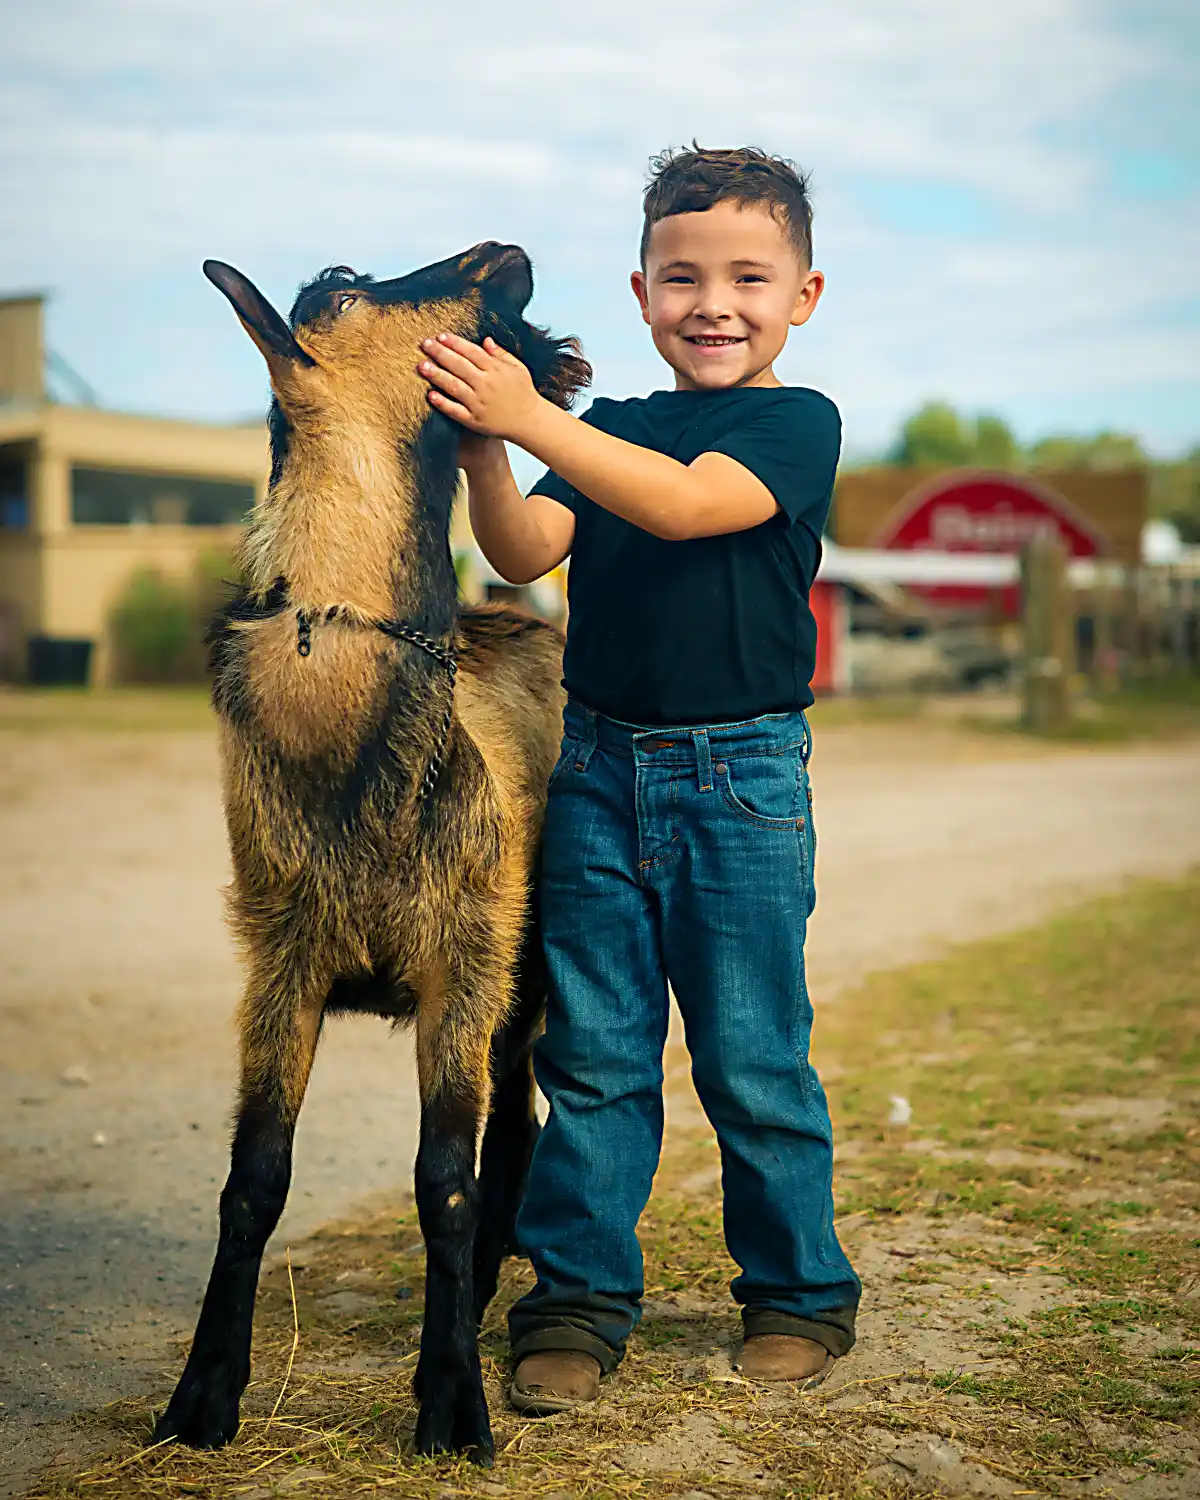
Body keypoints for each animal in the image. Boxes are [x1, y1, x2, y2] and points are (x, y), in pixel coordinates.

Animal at [153, 244, 590, 1465]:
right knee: (521, 1117)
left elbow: (441, 1178)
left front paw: (451, 1406)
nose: (501, 254)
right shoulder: (281, 960)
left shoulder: (462, 965)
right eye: (342, 291)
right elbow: (252, 1179)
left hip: (525, 960)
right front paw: (201, 1399)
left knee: (513, 1128)